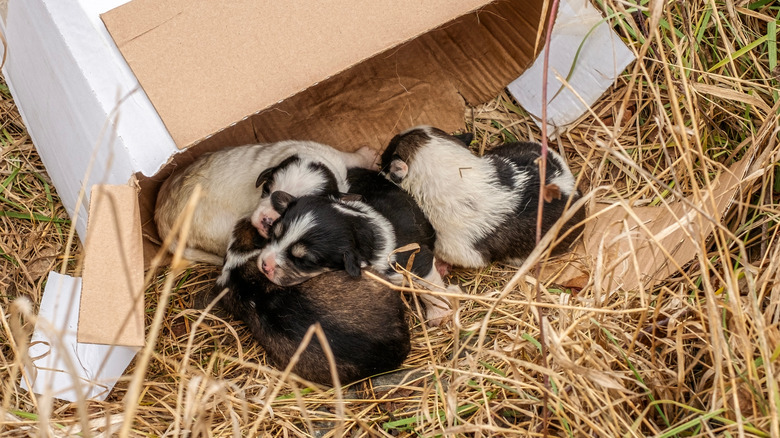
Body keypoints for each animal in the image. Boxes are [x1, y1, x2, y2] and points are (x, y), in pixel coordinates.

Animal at [258, 168, 460, 326]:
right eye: (274, 233)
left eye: (305, 260)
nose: (264, 265)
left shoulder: (416, 259)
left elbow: (429, 288)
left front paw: (439, 314)